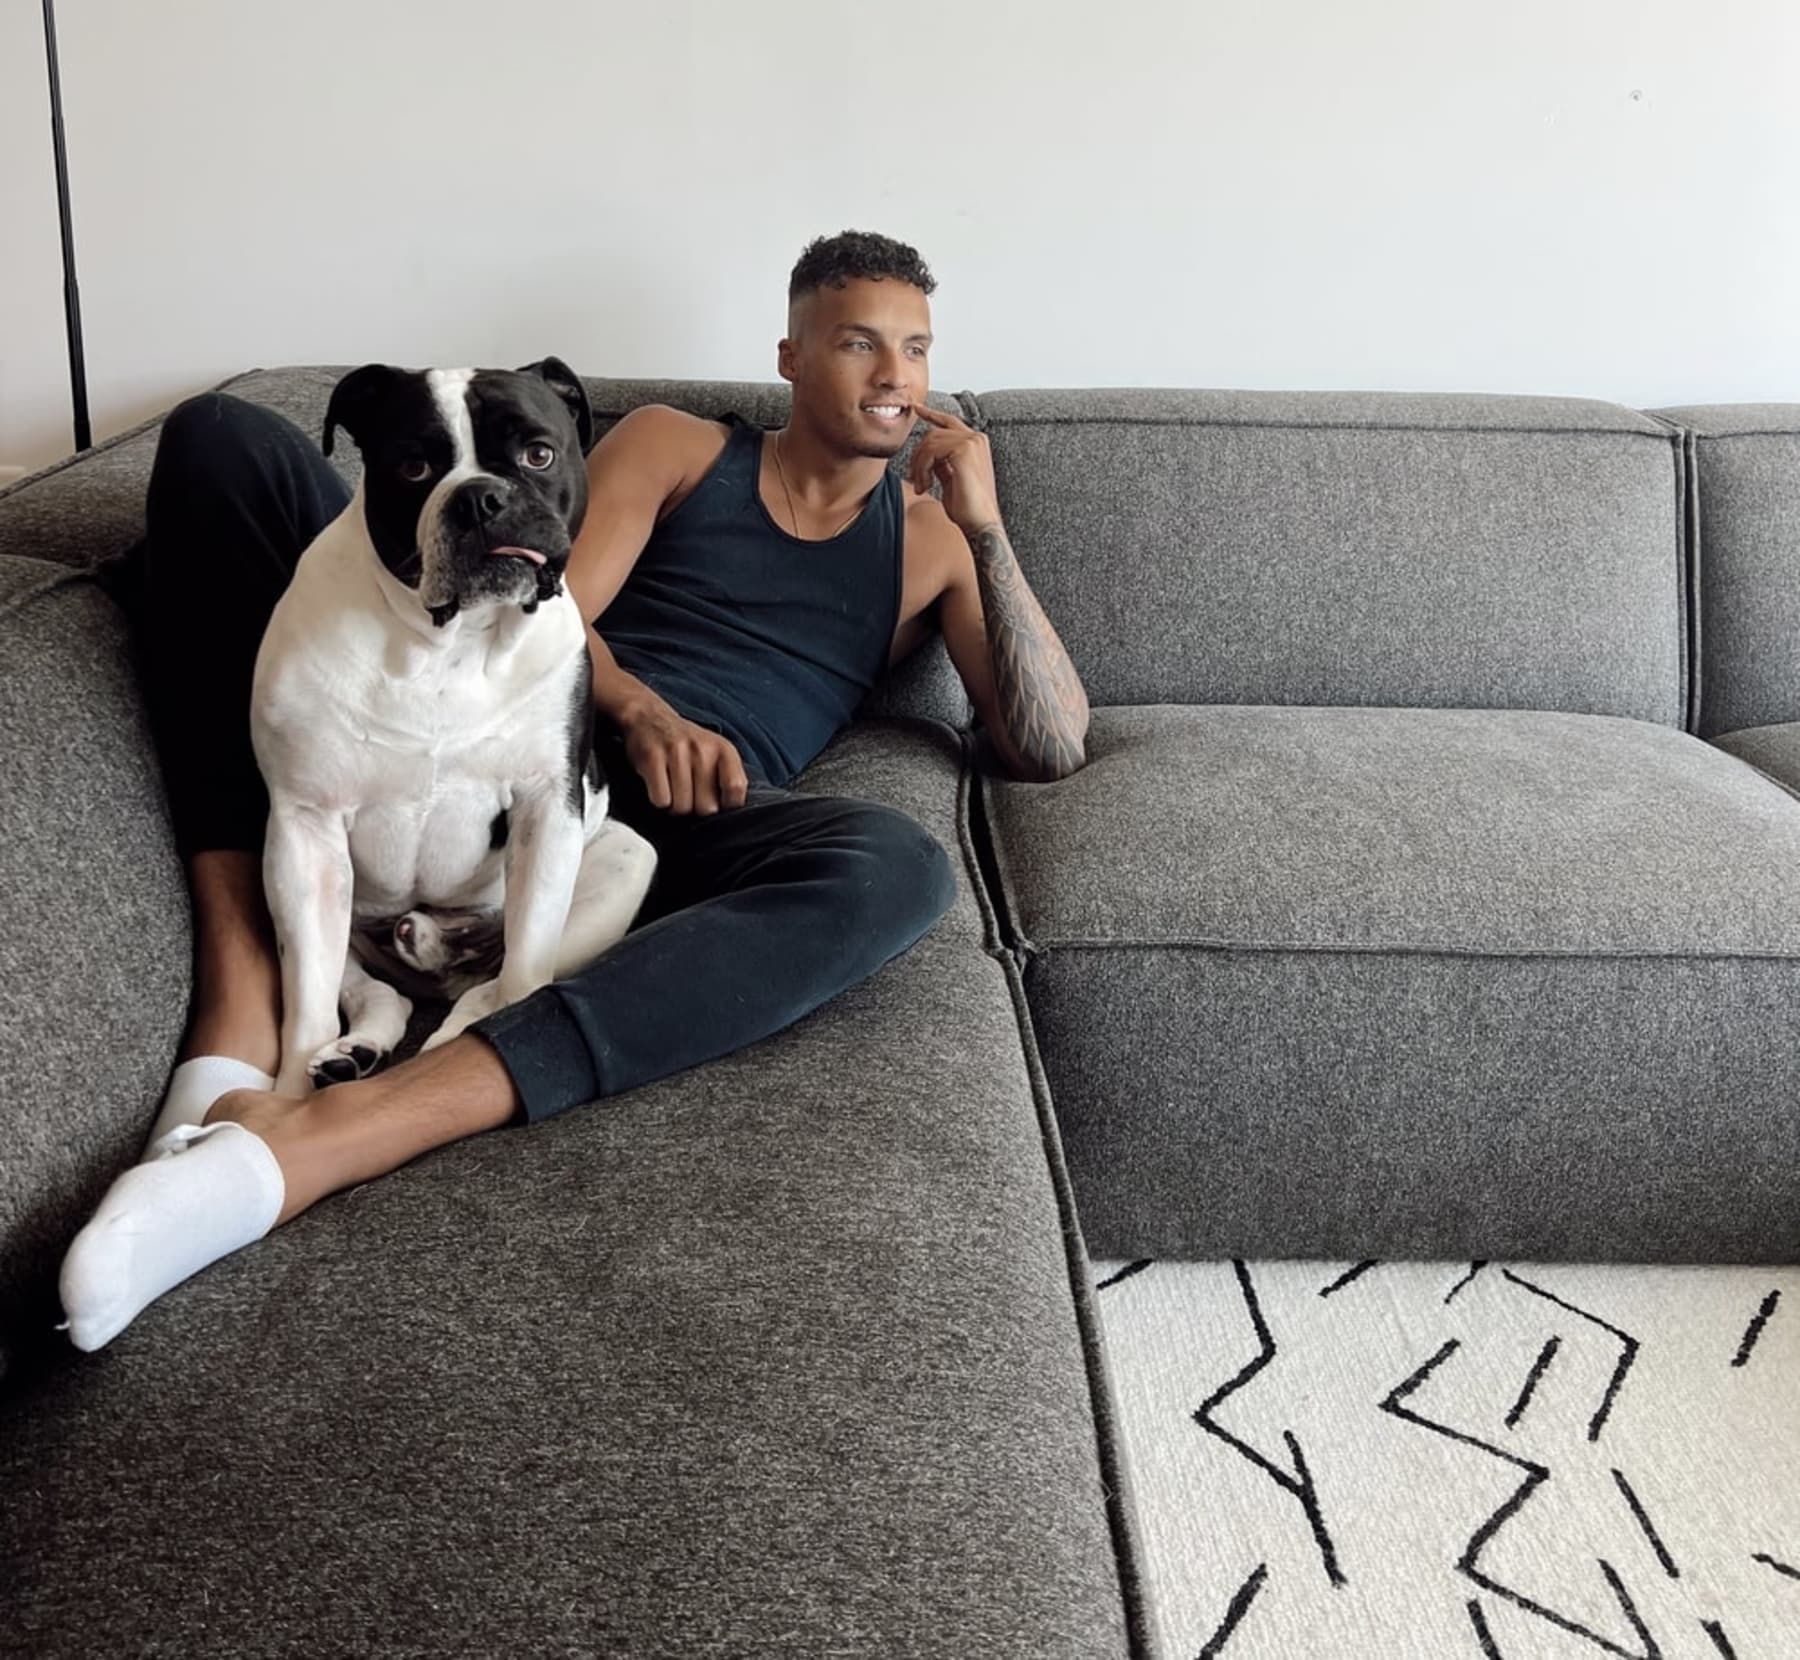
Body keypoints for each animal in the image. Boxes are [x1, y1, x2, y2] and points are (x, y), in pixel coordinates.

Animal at [250, 356, 651, 1094]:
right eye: (413, 467)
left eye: (538, 454)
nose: (479, 498)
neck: (448, 641)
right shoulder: (304, 832)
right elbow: (309, 1001)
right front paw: (290, 1094)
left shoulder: (547, 808)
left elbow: (523, 974)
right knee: (377, 992)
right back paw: (352, 1053)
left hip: (623, 860)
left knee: (489, 986)